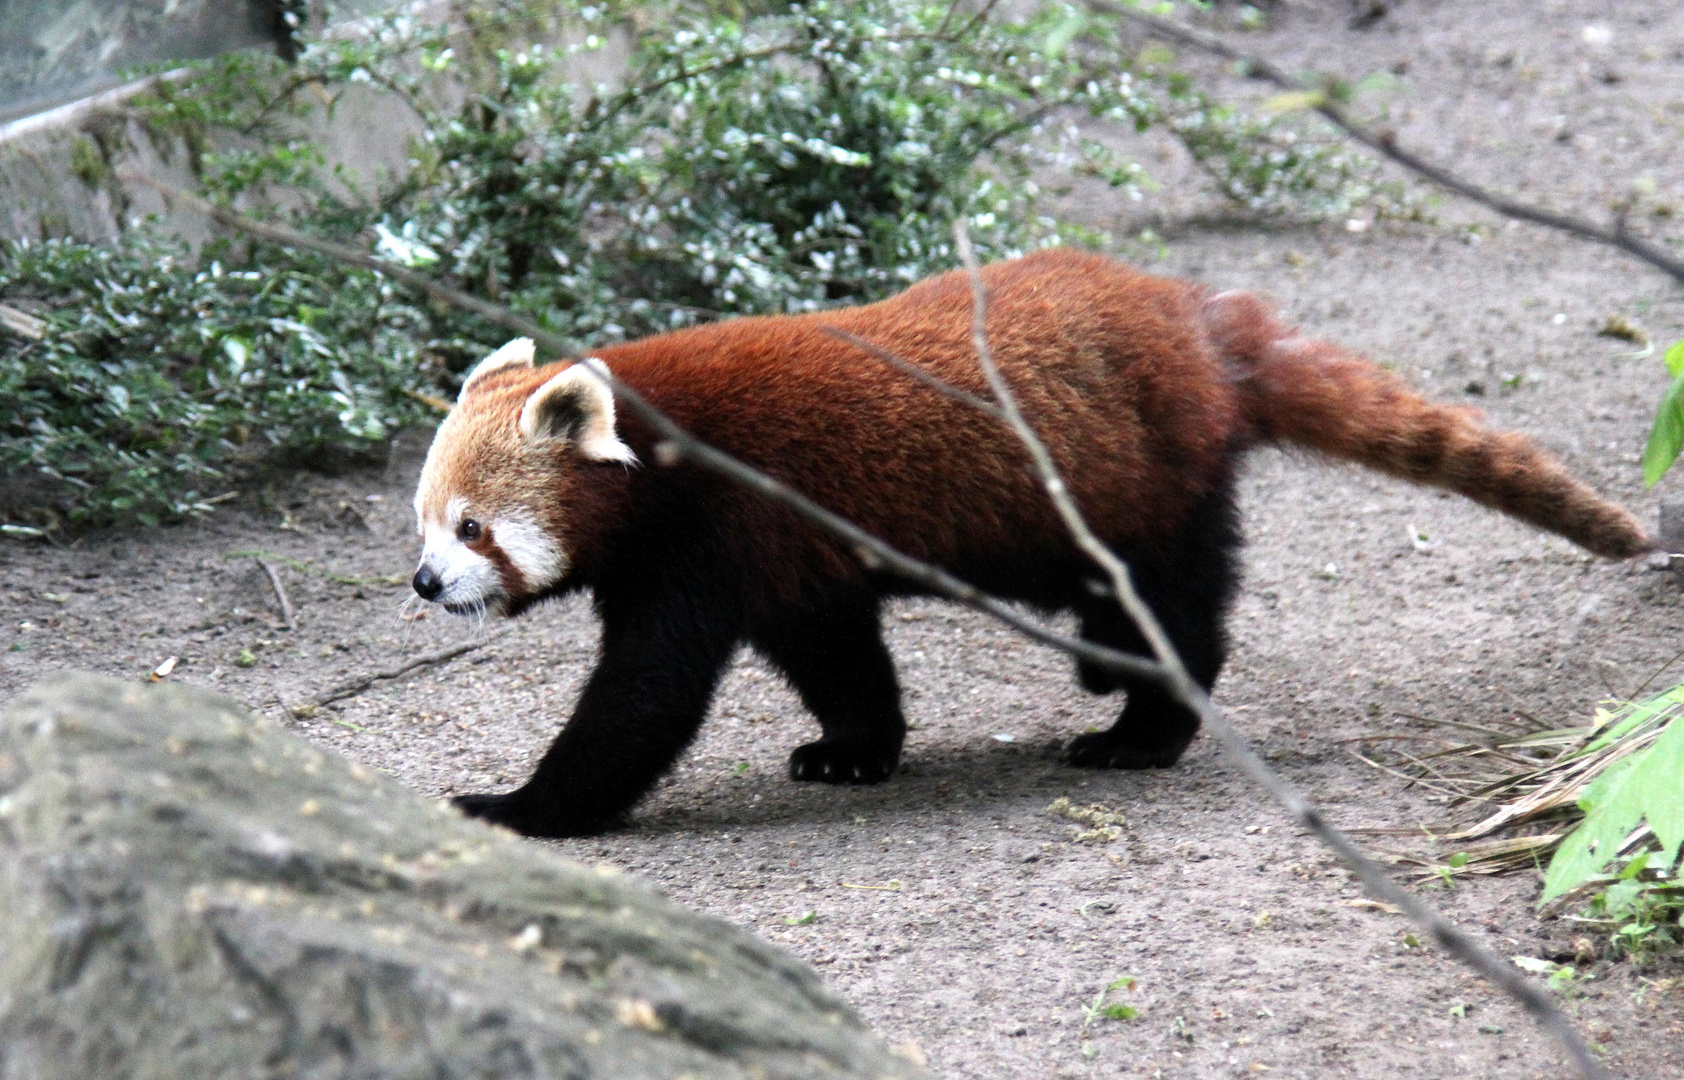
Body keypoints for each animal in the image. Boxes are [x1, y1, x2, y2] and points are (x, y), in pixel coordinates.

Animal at [414, 249, 1650, 839]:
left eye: (475, 527)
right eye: (421, 524)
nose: (426, 583)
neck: (657, 448)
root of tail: (1197, 322)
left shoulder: (709, 536)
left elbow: (642, 703)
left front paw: (518, 810)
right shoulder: (792, 563)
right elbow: (837, 654)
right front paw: (855, 749)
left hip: (1137, 485)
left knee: (1170, 608)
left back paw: (1140, 726)